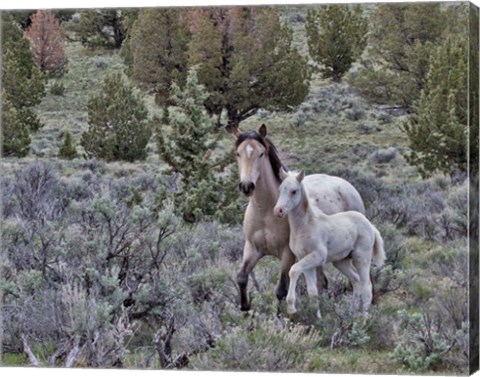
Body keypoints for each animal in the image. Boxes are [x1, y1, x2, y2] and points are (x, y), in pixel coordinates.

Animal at [274, 169, 386, 316]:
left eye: (294, 191)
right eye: (280, 189)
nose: (278, 211)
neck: (306, 225)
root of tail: (371, 225)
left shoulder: (318, 256)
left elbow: (293, 270)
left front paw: (291, 307)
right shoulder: (305, 259)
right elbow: (312, 291)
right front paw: (317, 317)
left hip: (361, 258)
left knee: (366, 286)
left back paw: (363, 317)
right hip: (342, 261)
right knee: (356, 280)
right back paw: (352, 312)